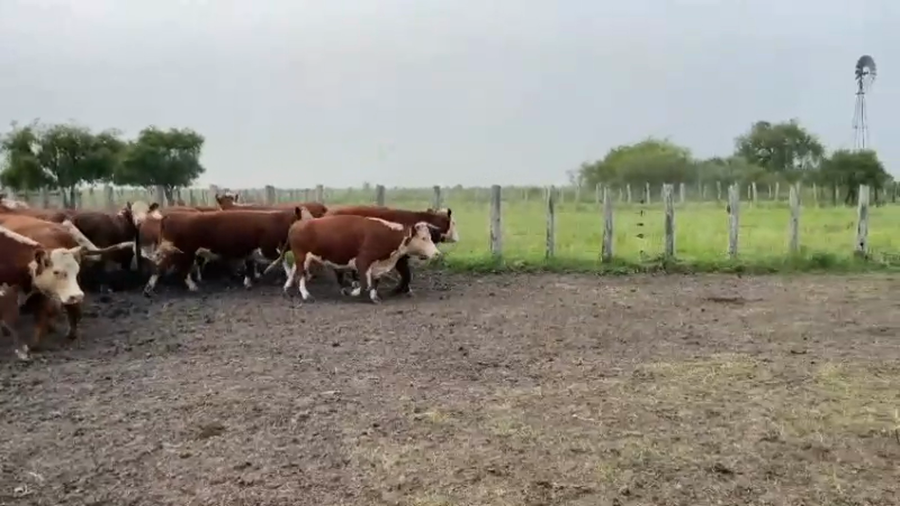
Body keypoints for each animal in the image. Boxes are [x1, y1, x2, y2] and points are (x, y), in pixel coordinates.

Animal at [143, 208, 304, 295]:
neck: (277, 222)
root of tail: (169, 215)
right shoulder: (267, 249)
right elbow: (282, 260)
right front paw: (288, 278)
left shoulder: (250, 251)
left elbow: (250, 266)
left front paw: (248, 282)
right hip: (182, 252)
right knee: (175, 269)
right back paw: (191, 286)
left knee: (161, 267)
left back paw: (149, 288)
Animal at [263, 213, 442, 304]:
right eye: (424, 238)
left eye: (430, 237)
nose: (437, 254)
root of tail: (297, 224)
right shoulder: (363, 261)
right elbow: (364, 284)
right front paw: (353, 292)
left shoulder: (376, 266)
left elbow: (375, 283)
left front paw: (375, 297)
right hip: (302, 256)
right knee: (300, 275)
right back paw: (306, 295)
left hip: (303, 257)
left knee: (294, 270)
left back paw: (287, 289)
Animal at [323, 206, 459, 295]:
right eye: (453, 223)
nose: (457, 237)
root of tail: (327, 213)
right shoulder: (399, 257)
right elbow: (406, 273)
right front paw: (400, 290)